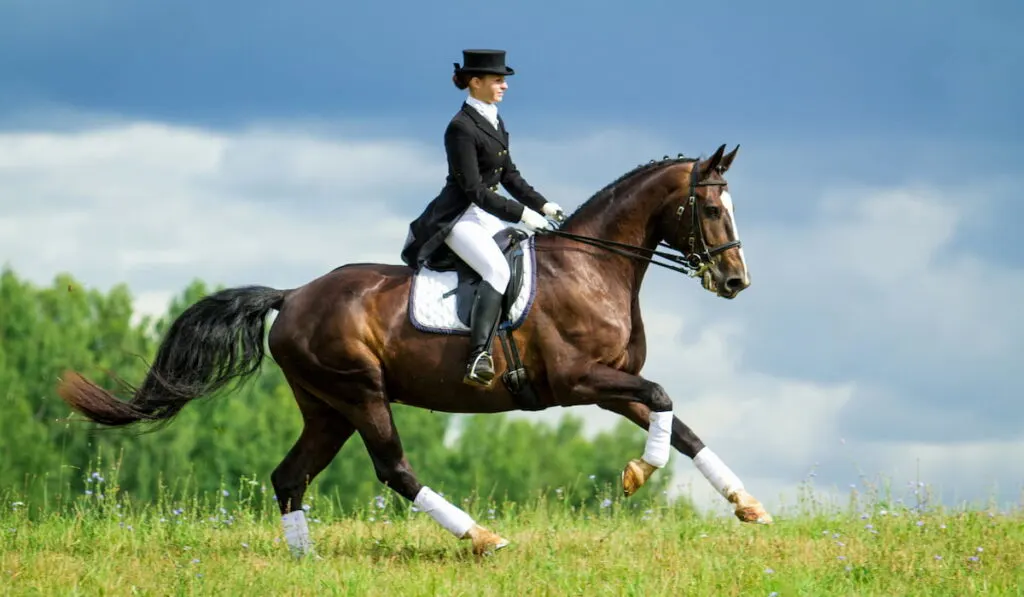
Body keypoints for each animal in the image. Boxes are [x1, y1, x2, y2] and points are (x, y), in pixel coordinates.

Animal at [56, 142, 770, 557]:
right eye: (711, 210)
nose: (736, 282)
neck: (594, 267)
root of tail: (293, 296)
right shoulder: (579, 381)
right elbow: (664, 401)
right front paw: (637, 474)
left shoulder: (611, 382)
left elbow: (679, 424)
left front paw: (746, 505)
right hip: (360, 393)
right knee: (393, 469)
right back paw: (481, 536)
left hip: (327, 407)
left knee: (290, 477)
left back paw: (305, 560)